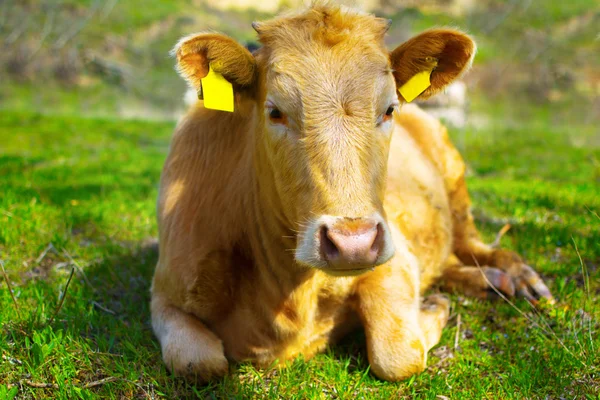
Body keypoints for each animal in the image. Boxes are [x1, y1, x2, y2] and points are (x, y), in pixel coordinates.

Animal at [151, 4, 552, 382]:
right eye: (275, 112)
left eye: (389, 109)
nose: (352, 243)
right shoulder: (164, 295)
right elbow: (197, 361)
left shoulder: (394, 258)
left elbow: (396, 353)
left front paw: (434, 309)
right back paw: (489, 283)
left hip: (454, 180)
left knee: (474, 245)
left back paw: (520, 279)